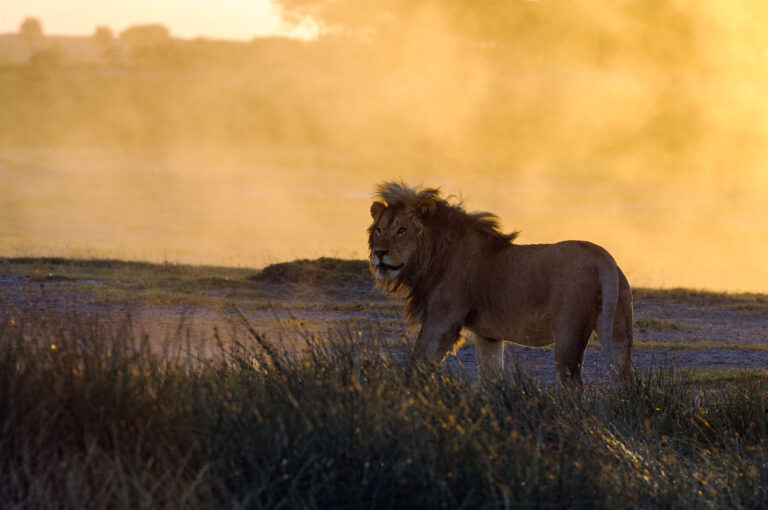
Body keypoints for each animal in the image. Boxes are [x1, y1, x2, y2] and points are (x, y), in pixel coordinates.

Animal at [368, 181, 632, 384]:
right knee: (626, 376)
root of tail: (601, 255)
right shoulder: (489, 336)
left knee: (574, 385)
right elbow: (490, 378)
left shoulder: (442, 320)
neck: (433, 256)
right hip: (618, 331)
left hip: (568, 335)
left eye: (401, 230)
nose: (379, 253)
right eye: (379, 230)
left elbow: (418, 363)